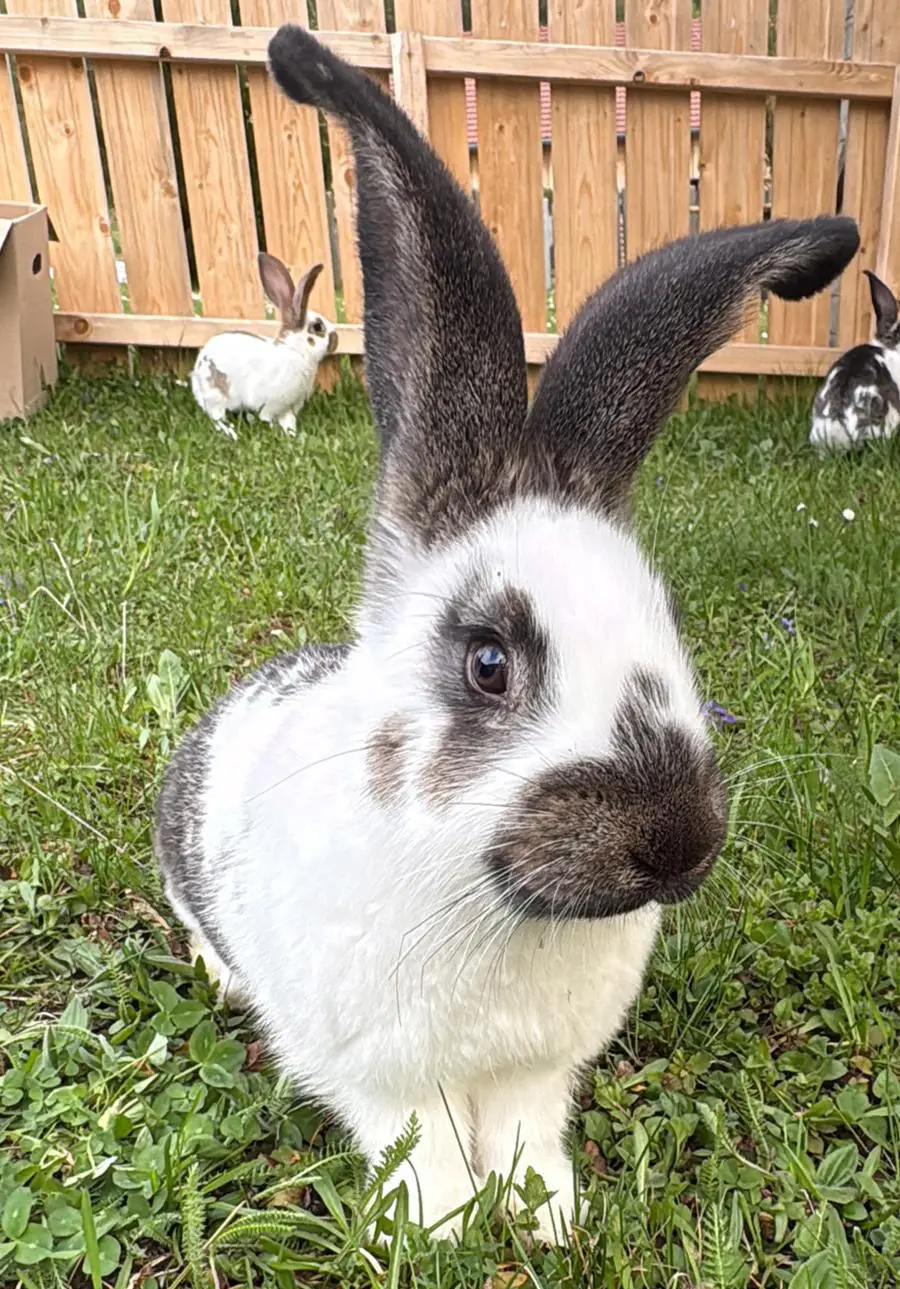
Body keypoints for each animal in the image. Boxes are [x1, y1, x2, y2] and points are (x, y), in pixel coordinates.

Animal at [190, 254, 338, 438]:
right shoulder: (272, 404)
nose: (336, 340)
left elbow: (288, 422)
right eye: (318, 327)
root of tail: (196, 370)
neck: (296, 351)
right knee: (216, 416)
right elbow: (267, 418)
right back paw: (230, 432)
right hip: (216, 393)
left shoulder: (288, 408)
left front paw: (292, 435)